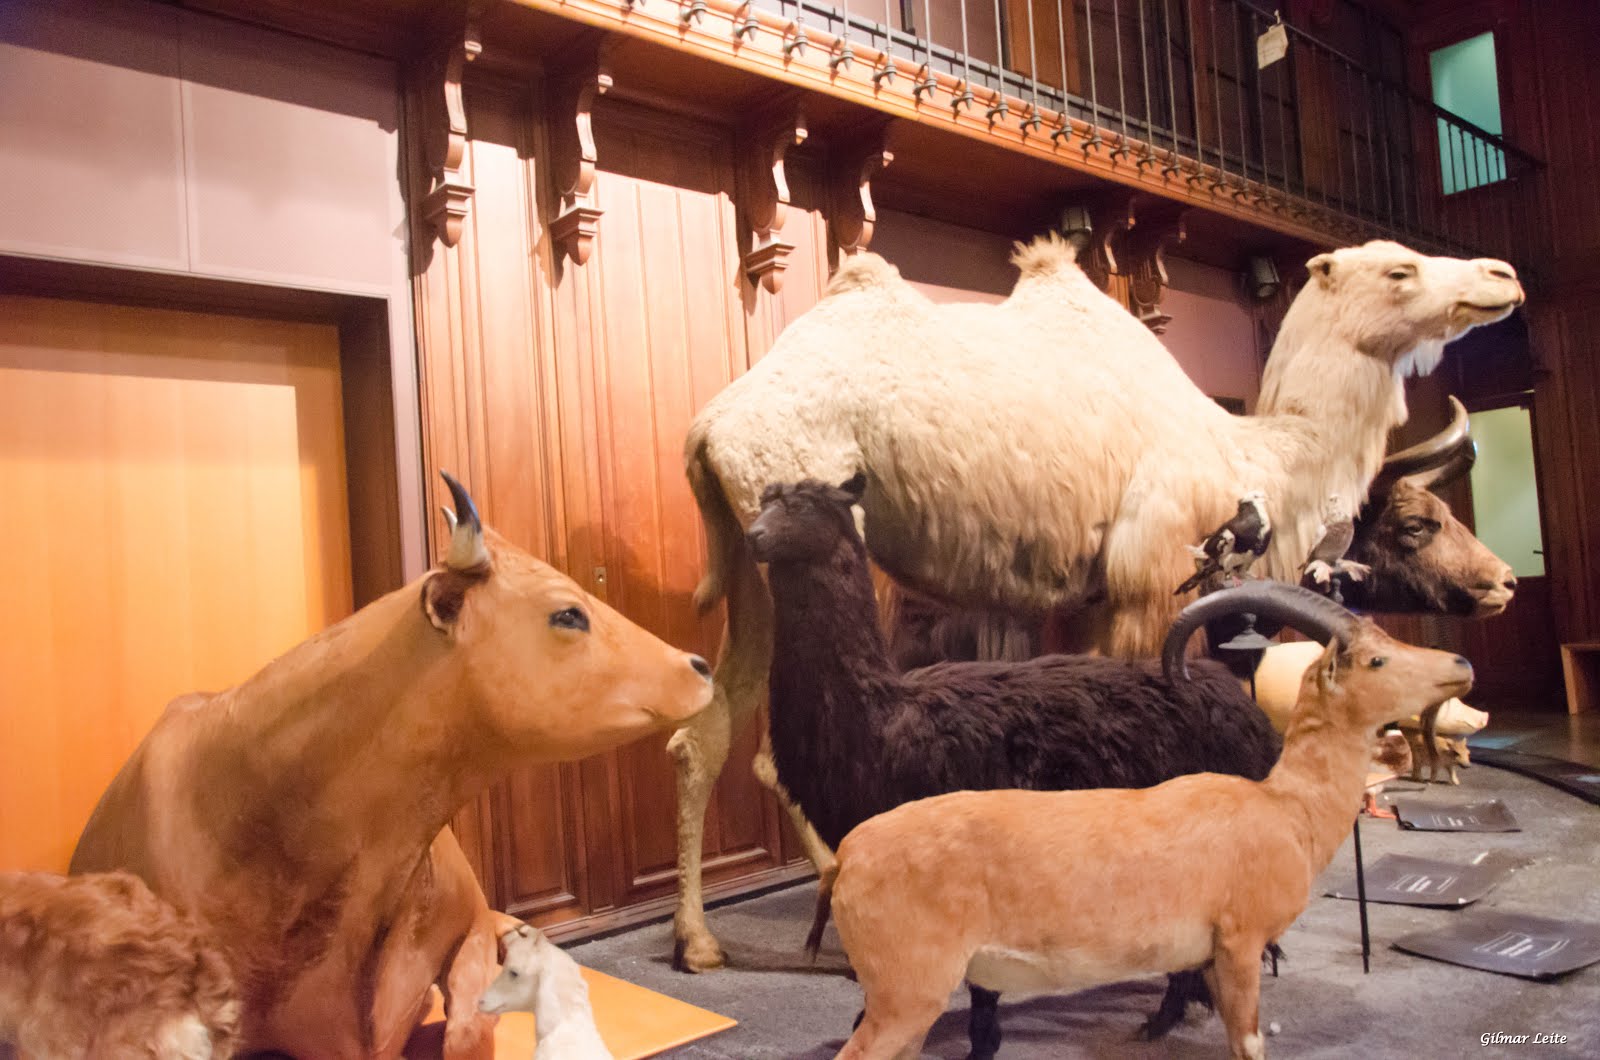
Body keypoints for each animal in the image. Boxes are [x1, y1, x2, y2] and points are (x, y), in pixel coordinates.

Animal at [812, 589, 1472, 1060]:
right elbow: (1248, 1042)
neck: (1284, 809)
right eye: (1376, 659)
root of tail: (846, 858)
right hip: (906, 995)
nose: (1462, 661)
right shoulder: (1239, 945)